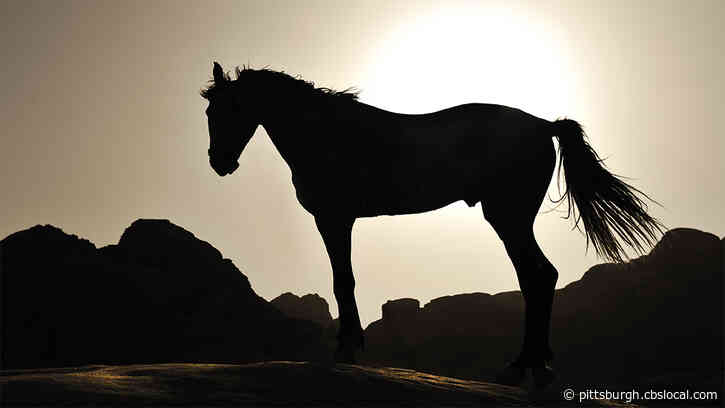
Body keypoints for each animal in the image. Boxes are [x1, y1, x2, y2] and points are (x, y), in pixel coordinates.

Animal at [200, 62, 663, 388]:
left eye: (232, 108)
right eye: (209, 109)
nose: (219, 163)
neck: (327, 133)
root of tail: (542, 125)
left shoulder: (334, 219)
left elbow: (343, 281)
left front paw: (347, 348)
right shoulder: (337, 220)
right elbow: (343, 281)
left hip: (508, 216)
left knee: (538, 276)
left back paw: (522, 367)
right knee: (538, 277)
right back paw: (532, 367)